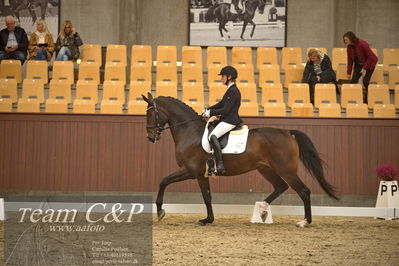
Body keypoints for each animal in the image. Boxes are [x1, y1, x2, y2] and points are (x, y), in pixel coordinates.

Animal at [142, 93, 340, 227]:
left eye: (151, 114)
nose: (150, 137)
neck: (190, 132)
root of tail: (288, 133)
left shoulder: (190, 171)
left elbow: (163, 181)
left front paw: (160, 211)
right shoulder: (201, 174)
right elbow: (207, 197)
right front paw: (208, 219)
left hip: (286, 169)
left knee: (304, 191)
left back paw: (304, 221)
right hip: (266, 169)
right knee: (280, 187)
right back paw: (262, 211)